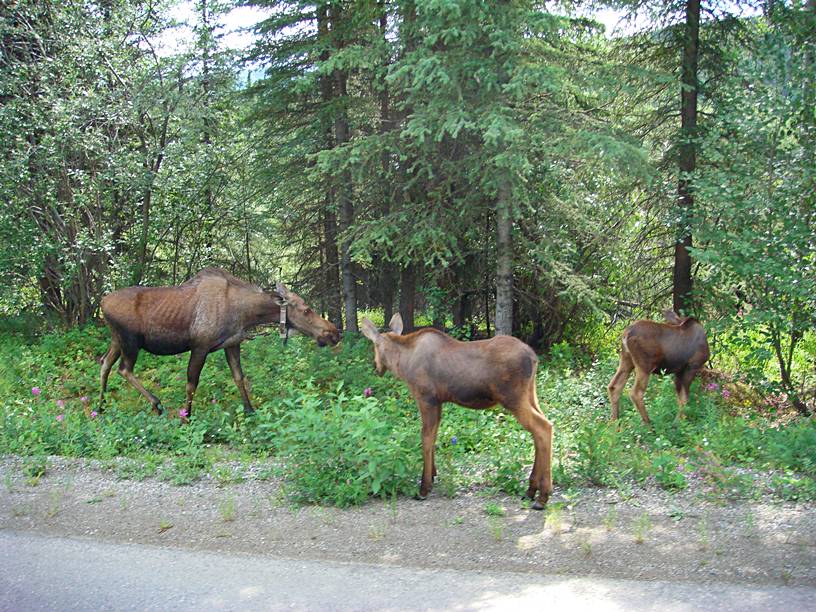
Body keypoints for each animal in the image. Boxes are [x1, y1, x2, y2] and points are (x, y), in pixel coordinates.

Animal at [99, 268, 342, 418]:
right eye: (306, 310)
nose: (333, 333)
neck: (246, 314)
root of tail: (102, 303)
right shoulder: (200, 346)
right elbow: (192, 383)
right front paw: (186, 417)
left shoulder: (232, 344)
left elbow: (239, 377)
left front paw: (250, 410)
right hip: (130, 341)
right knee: (124, 369)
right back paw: (156, 404)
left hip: (116, 340)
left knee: (105, 364)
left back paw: (101, 407)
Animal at [360, 314, 552, 510]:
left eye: (375, 345)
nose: (376, 367)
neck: (403, 363)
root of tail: (534, 357)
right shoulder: (438, 402)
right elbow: (434, 436)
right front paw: (433, 474)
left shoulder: (426, 398)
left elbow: (426, 438)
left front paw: (424, 487)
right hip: (530, 394)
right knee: (541, 429)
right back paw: (531, 490)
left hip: (512, 398)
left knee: (543, 427)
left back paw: (542, 496)